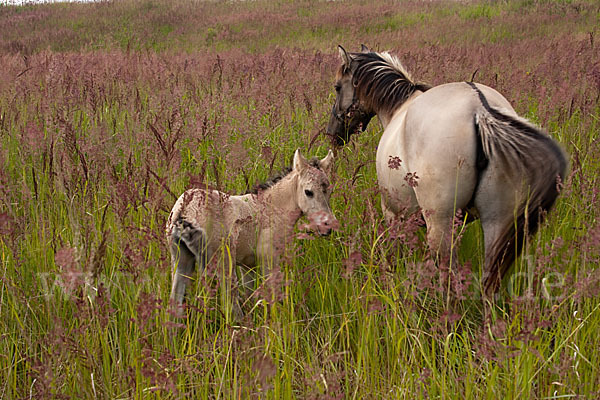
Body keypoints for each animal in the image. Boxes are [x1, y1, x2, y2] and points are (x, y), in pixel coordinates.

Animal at [168, 150, 338, 318]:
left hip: (180, 260)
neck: (272, 207)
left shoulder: (246, 264)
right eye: (308, 192)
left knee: (175, 304)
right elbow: (272, 295)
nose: (327, 227)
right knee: (231, 305)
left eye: (330, 191)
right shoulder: (268, 258)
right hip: (223, 263)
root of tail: (184, 212)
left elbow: (250, 296)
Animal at [328, 44, 568, 300]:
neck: (399, 107)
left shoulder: (393, 213)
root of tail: (480, 111)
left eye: (337, 87)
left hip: (440, 225)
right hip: (497, 223)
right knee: (489, 283)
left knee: (447, 278)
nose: (332, 134)